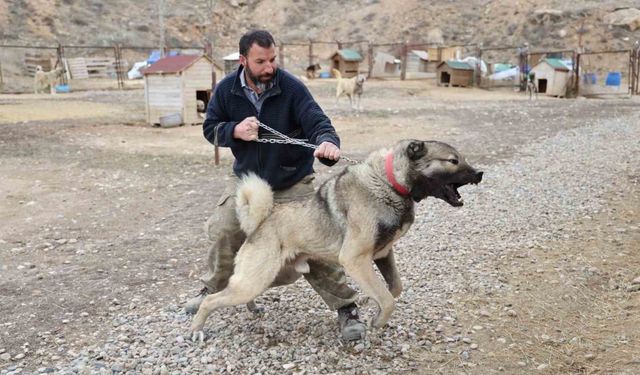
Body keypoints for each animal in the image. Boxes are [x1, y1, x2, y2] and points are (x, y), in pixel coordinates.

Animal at [189, 140, 480, 342]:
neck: (389, 182)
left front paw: (370, 305)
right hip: (256, 280)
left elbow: (393, 288)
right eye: (453, 160)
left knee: (233, 289)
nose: (480, 174)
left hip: (274, 277)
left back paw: (251, 307)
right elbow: (388, 300)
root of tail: (259, 223)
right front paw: (377, 321)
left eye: (463, 158)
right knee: (212, 300)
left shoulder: (383, 255)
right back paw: (196, 329)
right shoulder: (355, 260)